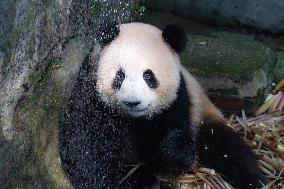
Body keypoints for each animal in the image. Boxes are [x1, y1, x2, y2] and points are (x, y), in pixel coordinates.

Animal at [58, 21, 268, 188]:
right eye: (119, 76)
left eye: (148, 76)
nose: (132, 102)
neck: (135, 119)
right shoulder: (90, 99)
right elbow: (87, 152)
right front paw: (136, 180)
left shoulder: (178, 101)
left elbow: (178, 151)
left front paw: (168, 152)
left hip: (204, 115)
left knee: (230, 149)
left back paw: (256, 180)